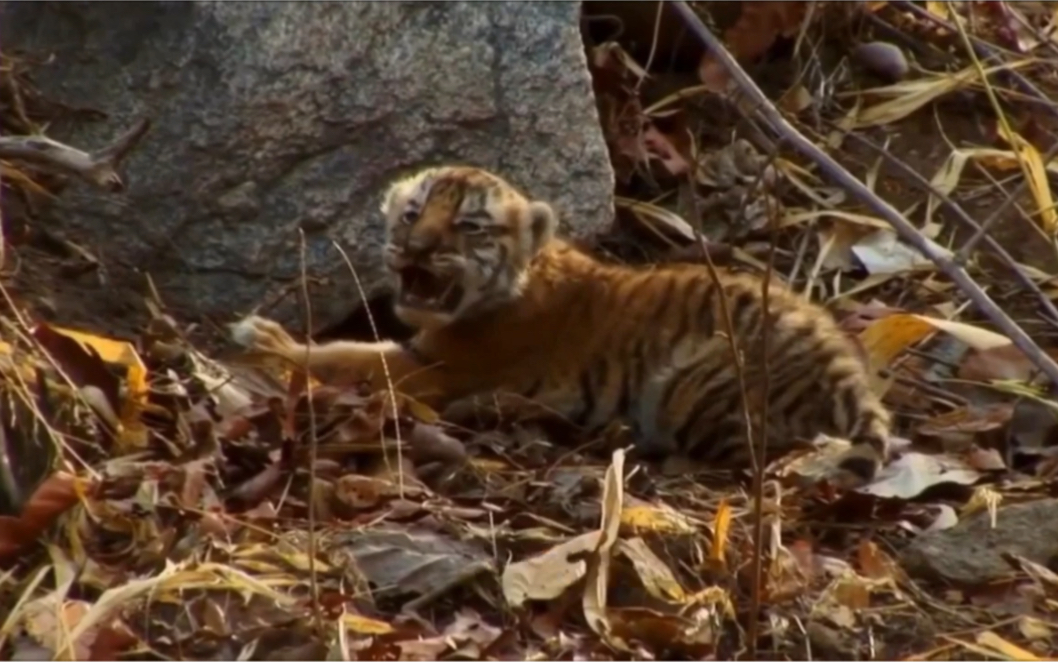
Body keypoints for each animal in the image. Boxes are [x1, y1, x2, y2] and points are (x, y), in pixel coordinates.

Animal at [230, 165, 891, 484]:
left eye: (469, 226)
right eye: (413, 214)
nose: (414, 247)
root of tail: (847, 369)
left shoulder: (435, 367)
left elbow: (346, 357)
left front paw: (265, 340)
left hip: (693, 383)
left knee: (751, 456)